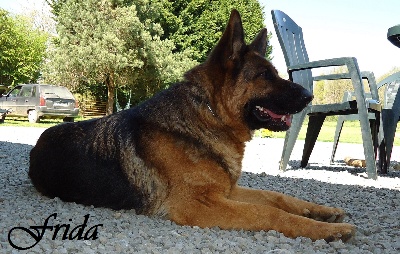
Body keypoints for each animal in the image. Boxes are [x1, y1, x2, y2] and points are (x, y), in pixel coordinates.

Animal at [29, 9, 354, 242]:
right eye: (264, 75)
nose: (310, 95)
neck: (209, 116)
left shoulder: (226, 192)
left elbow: (275, 197)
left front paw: (320, 212)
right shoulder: (201, 204)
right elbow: (269, 212)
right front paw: (324, 230)